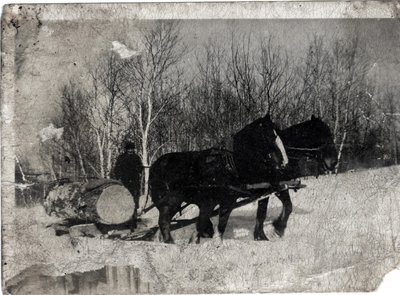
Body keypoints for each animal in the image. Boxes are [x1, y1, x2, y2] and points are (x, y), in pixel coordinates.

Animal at [150, 114, 288, 244]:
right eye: (269, 136)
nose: (282, 163)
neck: (233, 165)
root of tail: (155, 165)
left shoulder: (251, 193)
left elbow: (258, 214)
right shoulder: (219, 201)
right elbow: (215, 223)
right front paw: (210, 242)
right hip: (172, 200)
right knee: (164, 221)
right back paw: (169, 242)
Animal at [253, 114, 338, 242]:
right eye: (323, 134)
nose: (334, 162)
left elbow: (267, 211)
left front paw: (265, 233)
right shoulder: (275, 187)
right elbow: (284, 208)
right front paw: (275, 229)